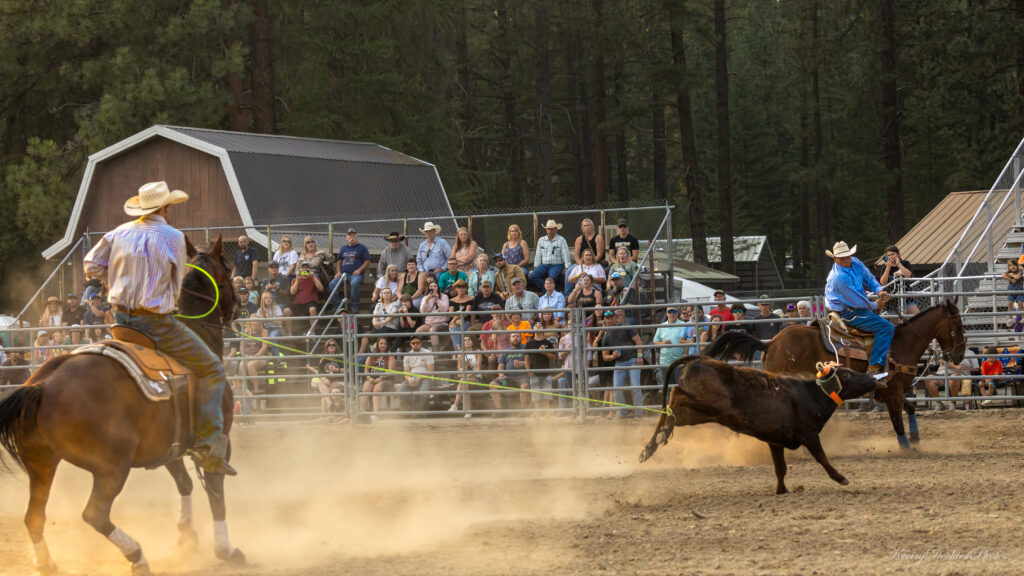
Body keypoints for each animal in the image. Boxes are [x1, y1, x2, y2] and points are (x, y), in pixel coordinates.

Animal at [0, 236, 245, 575]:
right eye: (229, 268)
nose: (238, 305)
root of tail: (43, 385)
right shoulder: (220, 442)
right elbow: (216, 492)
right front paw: (226, 550)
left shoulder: (170, 445)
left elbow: (184, 483)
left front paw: (187, 536)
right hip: (111, 467)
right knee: (94, 514)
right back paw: (137, 556)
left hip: (41, 463)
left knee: (33, 516)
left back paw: (47, 562)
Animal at [639, 356, 879, 494]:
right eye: (848, 373)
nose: (872, 379)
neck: (812, 394)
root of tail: (697, 361)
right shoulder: (809, 434)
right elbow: (822, 457)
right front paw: (841, 478)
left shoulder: (776, 441)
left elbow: (780, 468)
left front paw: (781, 490)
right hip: (711, 404)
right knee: (676, 393)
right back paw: (659, 438)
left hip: (696, 414)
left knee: (669, 413)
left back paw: (651, 446)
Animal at [704, 300, 966, 450]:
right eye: (959, 326)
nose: (959, 356)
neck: (901, 344)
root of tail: (771, 343)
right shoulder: (892, 392)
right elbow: (897, 421)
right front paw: (906, 448)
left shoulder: (895, 391)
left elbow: (910, 409)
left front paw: (916, 439)